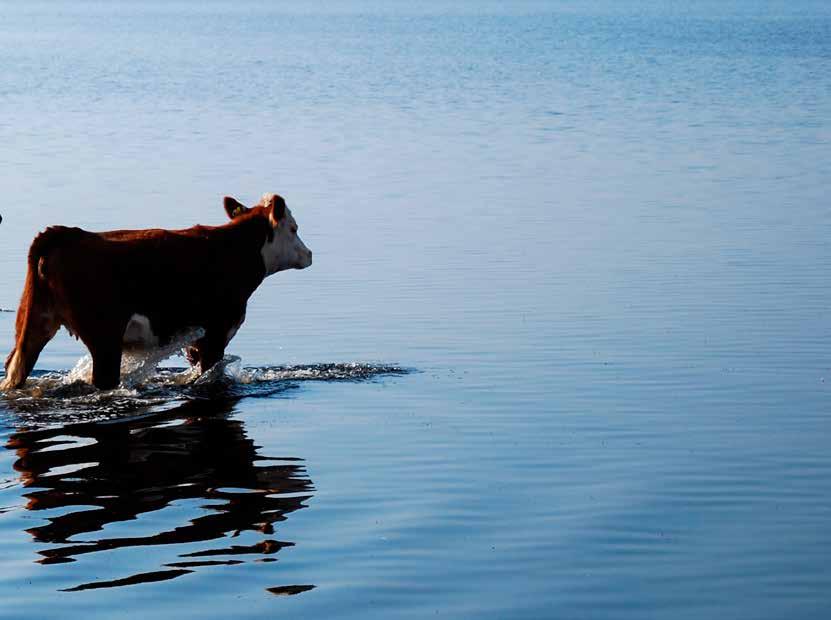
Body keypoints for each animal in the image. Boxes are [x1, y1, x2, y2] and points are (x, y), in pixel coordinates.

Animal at [0, 191, 312, 390]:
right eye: (294, 228)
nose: (309, 254)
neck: (234, 249)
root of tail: (65, 233)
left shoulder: (194, 340)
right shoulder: (216, 332)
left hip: (34, 321)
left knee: (15, 368)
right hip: (104, 337)